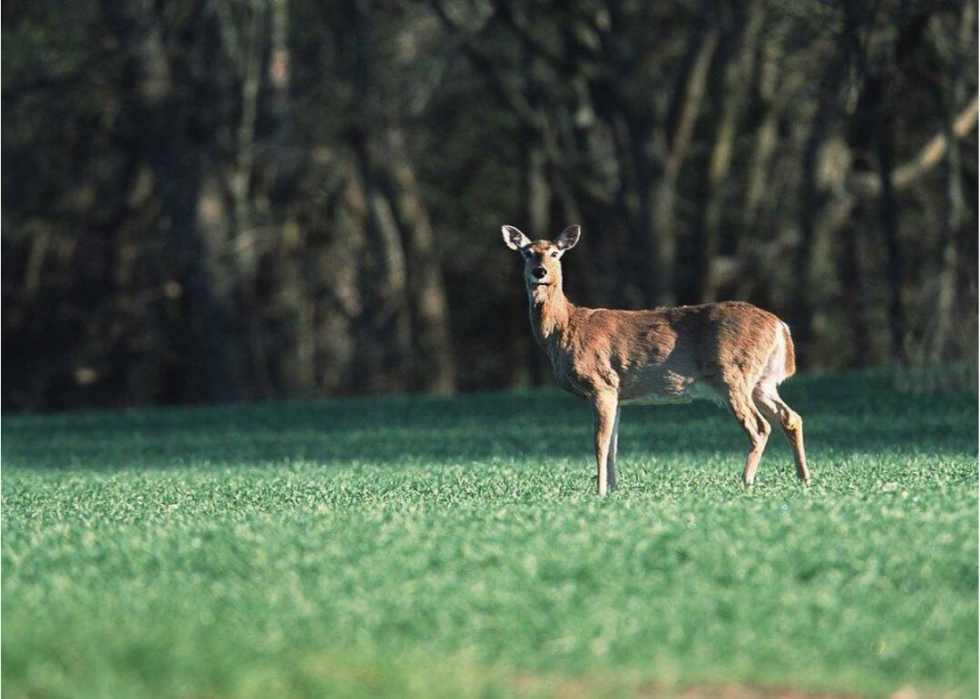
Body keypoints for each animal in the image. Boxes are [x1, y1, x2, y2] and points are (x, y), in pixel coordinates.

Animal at [502, 227, 808, 494]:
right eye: (527, 253)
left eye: (555, 253)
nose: (539, 272)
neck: (564, 327)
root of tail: (780, 326)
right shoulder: (618, 393)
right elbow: (613, 445)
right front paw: (614, 489)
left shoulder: (601, 383)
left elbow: (600, 442)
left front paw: (599, 490)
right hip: (761, 381)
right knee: (791, 417)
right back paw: (803, 479)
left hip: (733, 374)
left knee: (760, 427)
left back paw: (747, 481)